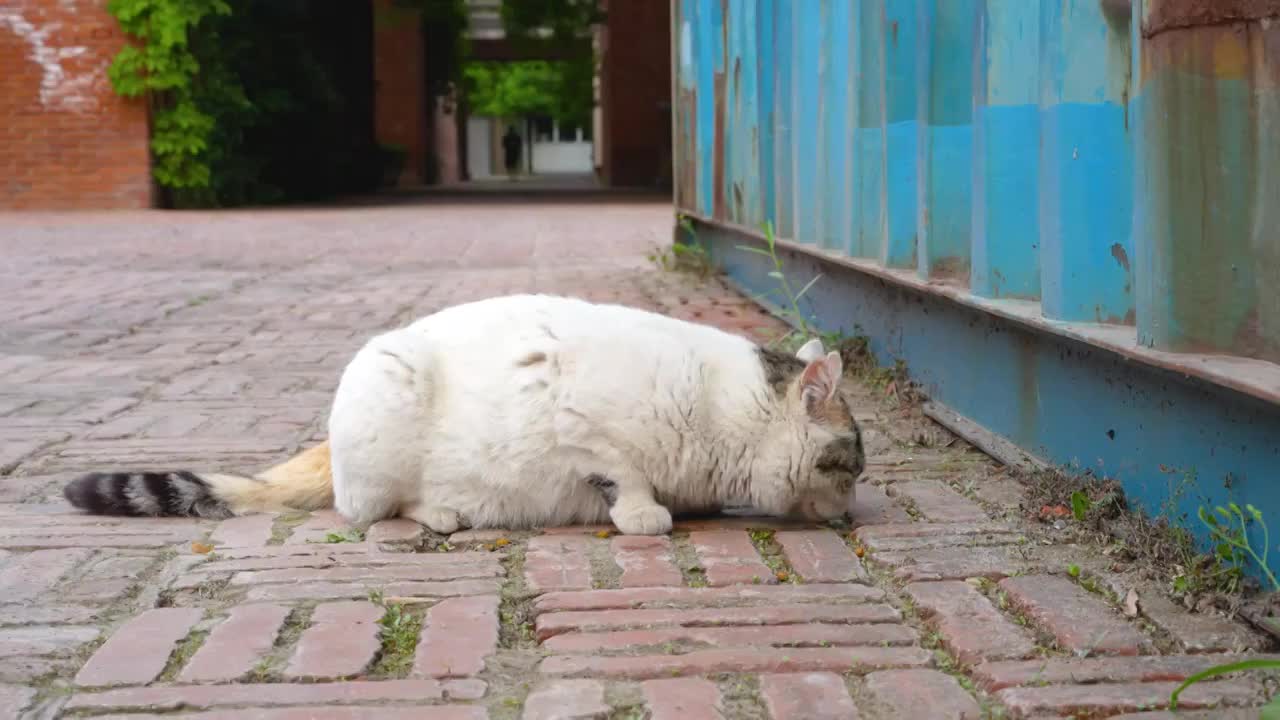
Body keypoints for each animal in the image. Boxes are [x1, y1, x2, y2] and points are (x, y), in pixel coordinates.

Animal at [60, 293, 860, 532]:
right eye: (850, 470)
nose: (854, 515)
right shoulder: (580, 421)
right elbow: (624, 477)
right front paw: (643, 514)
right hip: (390, 404)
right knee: (370, 509)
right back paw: (444, 514)